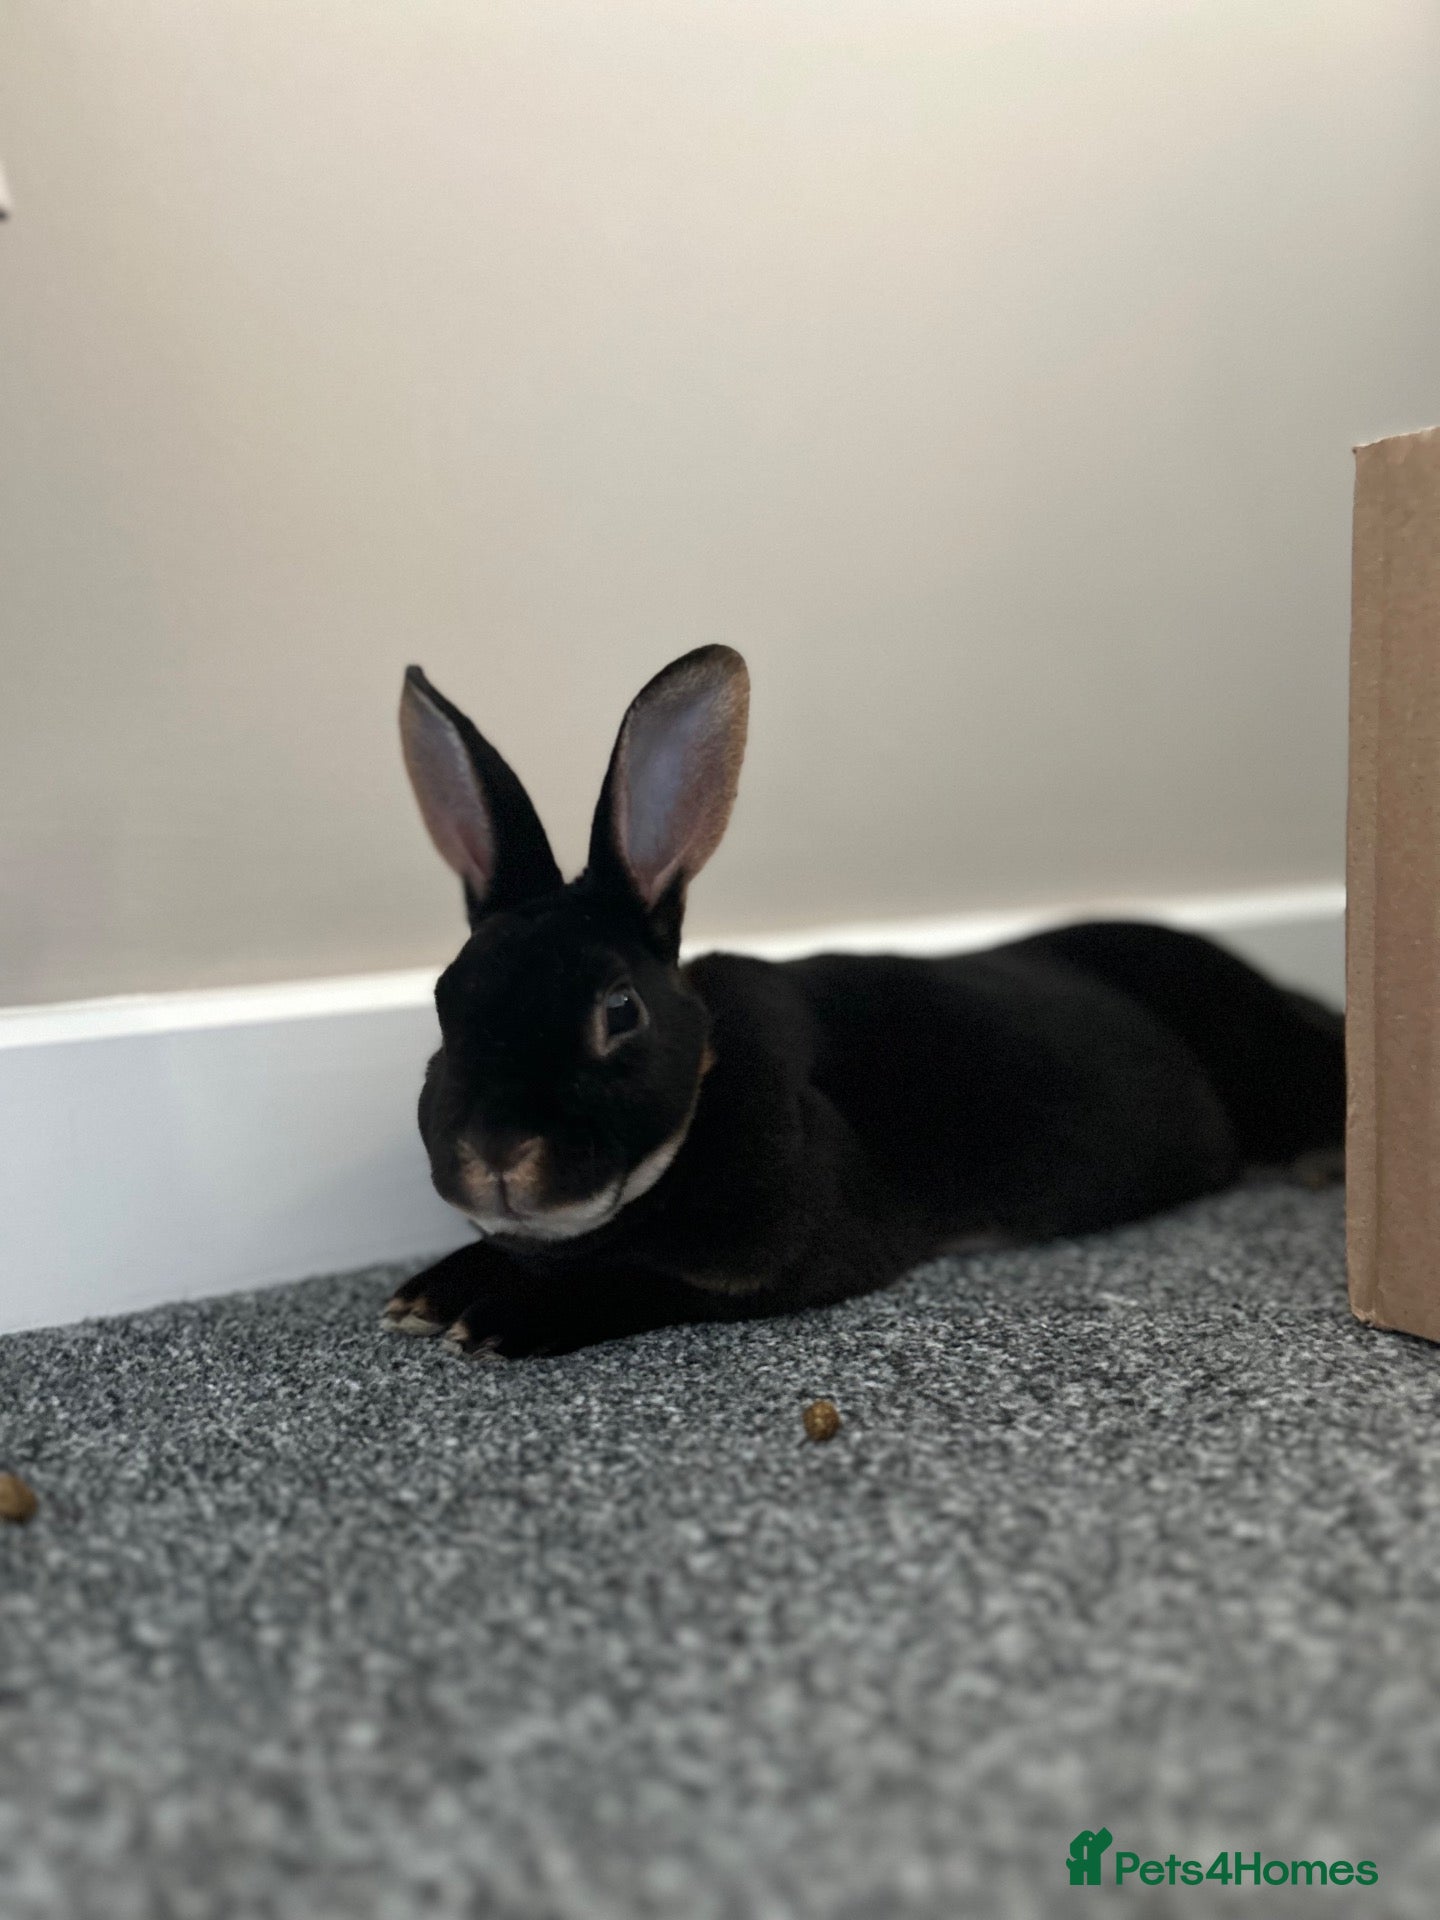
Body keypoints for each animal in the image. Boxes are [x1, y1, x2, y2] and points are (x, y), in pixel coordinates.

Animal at [383, 644, 1345, 1358]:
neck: (702, 1089)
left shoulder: (784, 1257)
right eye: (444, 1003)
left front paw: (502, 1315)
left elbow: (639, 1283)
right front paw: (429, 1292)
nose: (498, 1154)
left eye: (620, 1010)